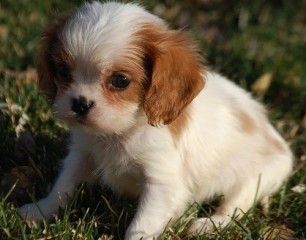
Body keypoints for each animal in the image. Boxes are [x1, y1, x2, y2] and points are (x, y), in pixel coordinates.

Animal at [18, 1, 292, 238]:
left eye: (120, 80)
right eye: (62, 71)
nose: (80, 104)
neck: (121, 132)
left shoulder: (161, 183)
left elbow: (142, 224)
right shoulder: (82, 154)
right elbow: (63, 185)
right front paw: (39, 210)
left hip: (257, 178)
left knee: (235, 205)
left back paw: (208, 224)